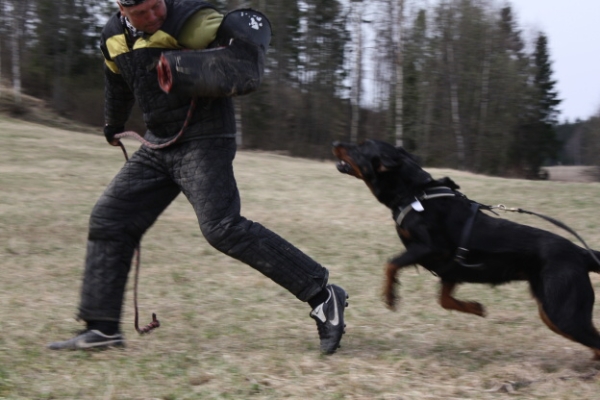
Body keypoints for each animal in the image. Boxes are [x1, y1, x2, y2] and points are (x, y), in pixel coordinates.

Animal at [330, 139, 600, 358]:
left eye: (360, 147)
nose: (336, 142)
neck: (414, 194)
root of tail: (581, 253)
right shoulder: (451, 270)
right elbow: (444, 300)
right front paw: (475, 307)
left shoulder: (430, 248)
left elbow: (391, 264)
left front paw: (390, 297)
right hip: (552, 310)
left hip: (562, 312)